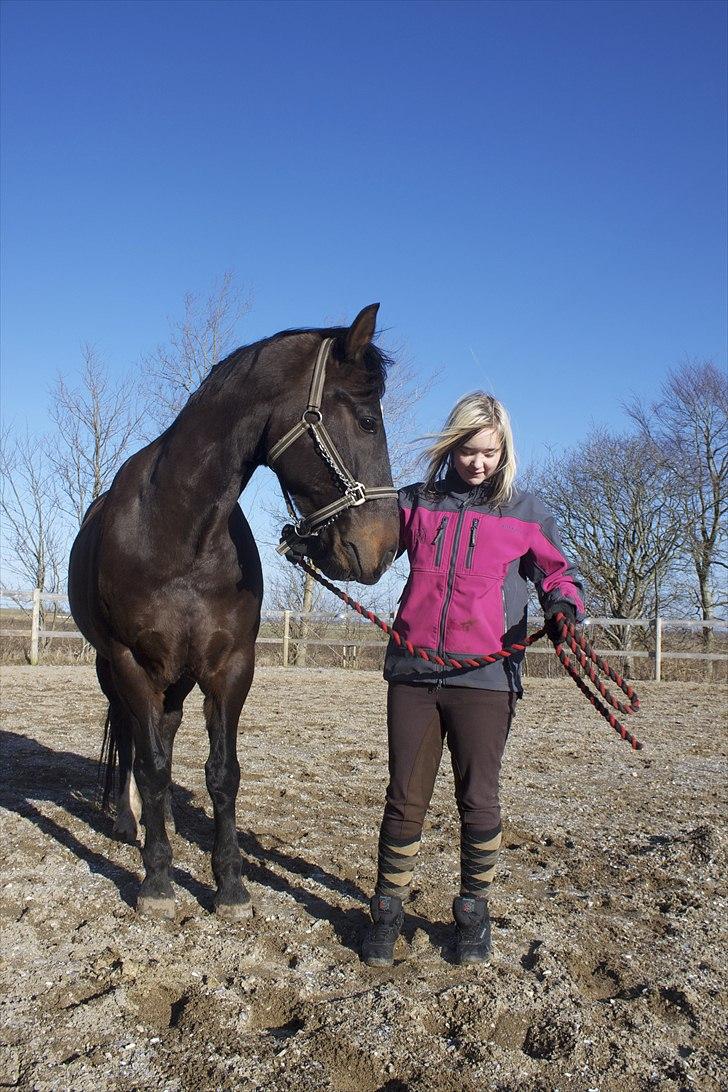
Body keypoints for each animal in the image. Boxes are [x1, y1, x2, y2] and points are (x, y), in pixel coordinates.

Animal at [67, 305, 399, 921]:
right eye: (367, 420)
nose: (383, 548)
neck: (179, 533)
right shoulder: (131, 663)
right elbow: (150, 765)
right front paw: (157, 881)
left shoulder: (230, 667)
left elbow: (222, 774)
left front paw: (230, 884)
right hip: (114, 670)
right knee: (130, 739)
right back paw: (130, 822)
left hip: (176, 676)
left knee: (165, 731)